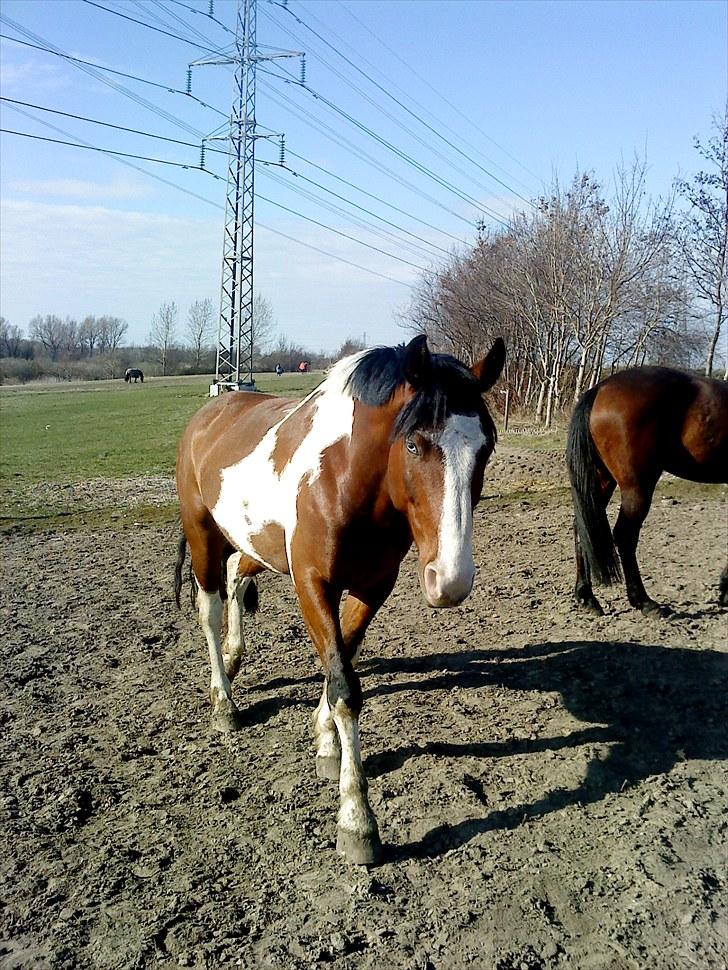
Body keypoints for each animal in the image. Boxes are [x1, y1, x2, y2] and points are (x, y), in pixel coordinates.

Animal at [176, 334, 506, 864]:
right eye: (413, 443)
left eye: (486, 447)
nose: (450, 580)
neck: (346, 479)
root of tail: (214, 409)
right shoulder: (312, 584)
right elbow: (346, 688)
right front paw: (357, 821)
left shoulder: (373, 587)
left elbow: (341, 664)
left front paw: (326, 741)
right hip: (203, 534)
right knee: (208, 609)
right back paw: (224, 700)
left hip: (253, 543)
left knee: (236, 577)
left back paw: (235, 654)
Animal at [568, 364, 728, 612]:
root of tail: (600, 388)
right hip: (637, 486)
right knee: (625, 535)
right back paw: (644, 601)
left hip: (601, 480)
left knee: (583, 526)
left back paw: (587, 597)